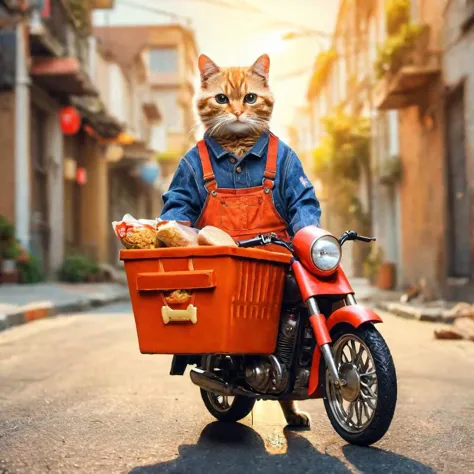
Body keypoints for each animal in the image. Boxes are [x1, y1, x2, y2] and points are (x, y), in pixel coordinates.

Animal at [194, 52, 310, 430]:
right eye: (221, 99)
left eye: (250, 98)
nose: (236, 113)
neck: (238, 145)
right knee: (210, 370)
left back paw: (293, 415)